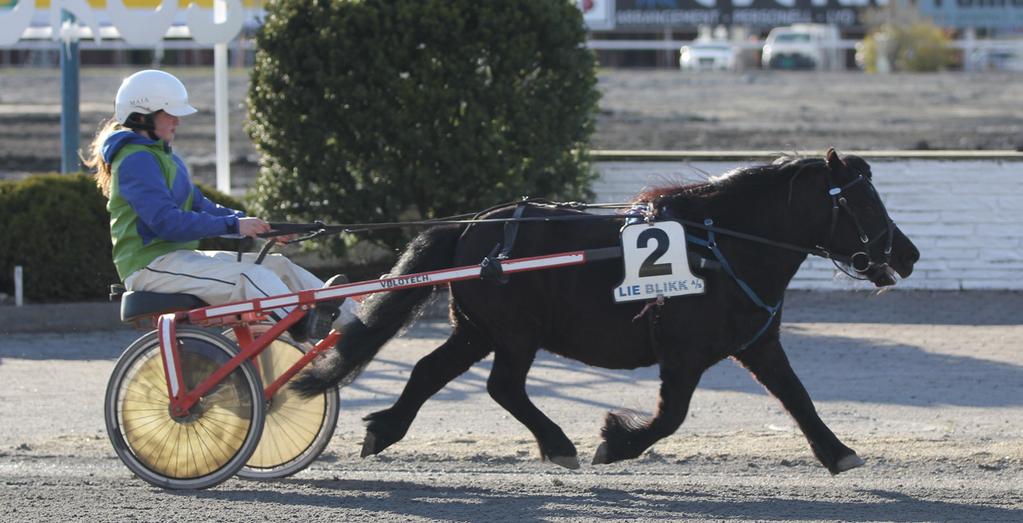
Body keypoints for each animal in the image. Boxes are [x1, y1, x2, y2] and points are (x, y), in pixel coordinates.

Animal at [294, 148, 920, 474]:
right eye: (863, 201)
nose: (908, 254)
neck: (720, 244)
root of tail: (471, 227)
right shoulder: (683, 352)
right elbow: (670, 416)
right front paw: (615, 443)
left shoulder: (758, 344)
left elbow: (797, 397)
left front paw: (839, 454)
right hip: (516, 333)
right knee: (503, 387)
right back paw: (558, 445)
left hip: (478, 330)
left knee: (430, 371)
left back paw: (384, 430)